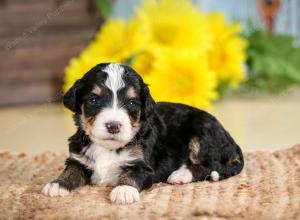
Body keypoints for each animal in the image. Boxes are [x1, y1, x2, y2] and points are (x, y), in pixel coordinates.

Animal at [41, 62, 244, 204]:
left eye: (131, 103)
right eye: (93, 99)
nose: (113, 125)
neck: (108, 148)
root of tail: (231, 141)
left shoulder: (144, 166)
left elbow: (132, 175)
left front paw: (124, 190)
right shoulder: (78, 158)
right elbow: (71, 171)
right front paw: (57, 184)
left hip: (202, 134)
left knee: (209, 165)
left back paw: (180, 175)